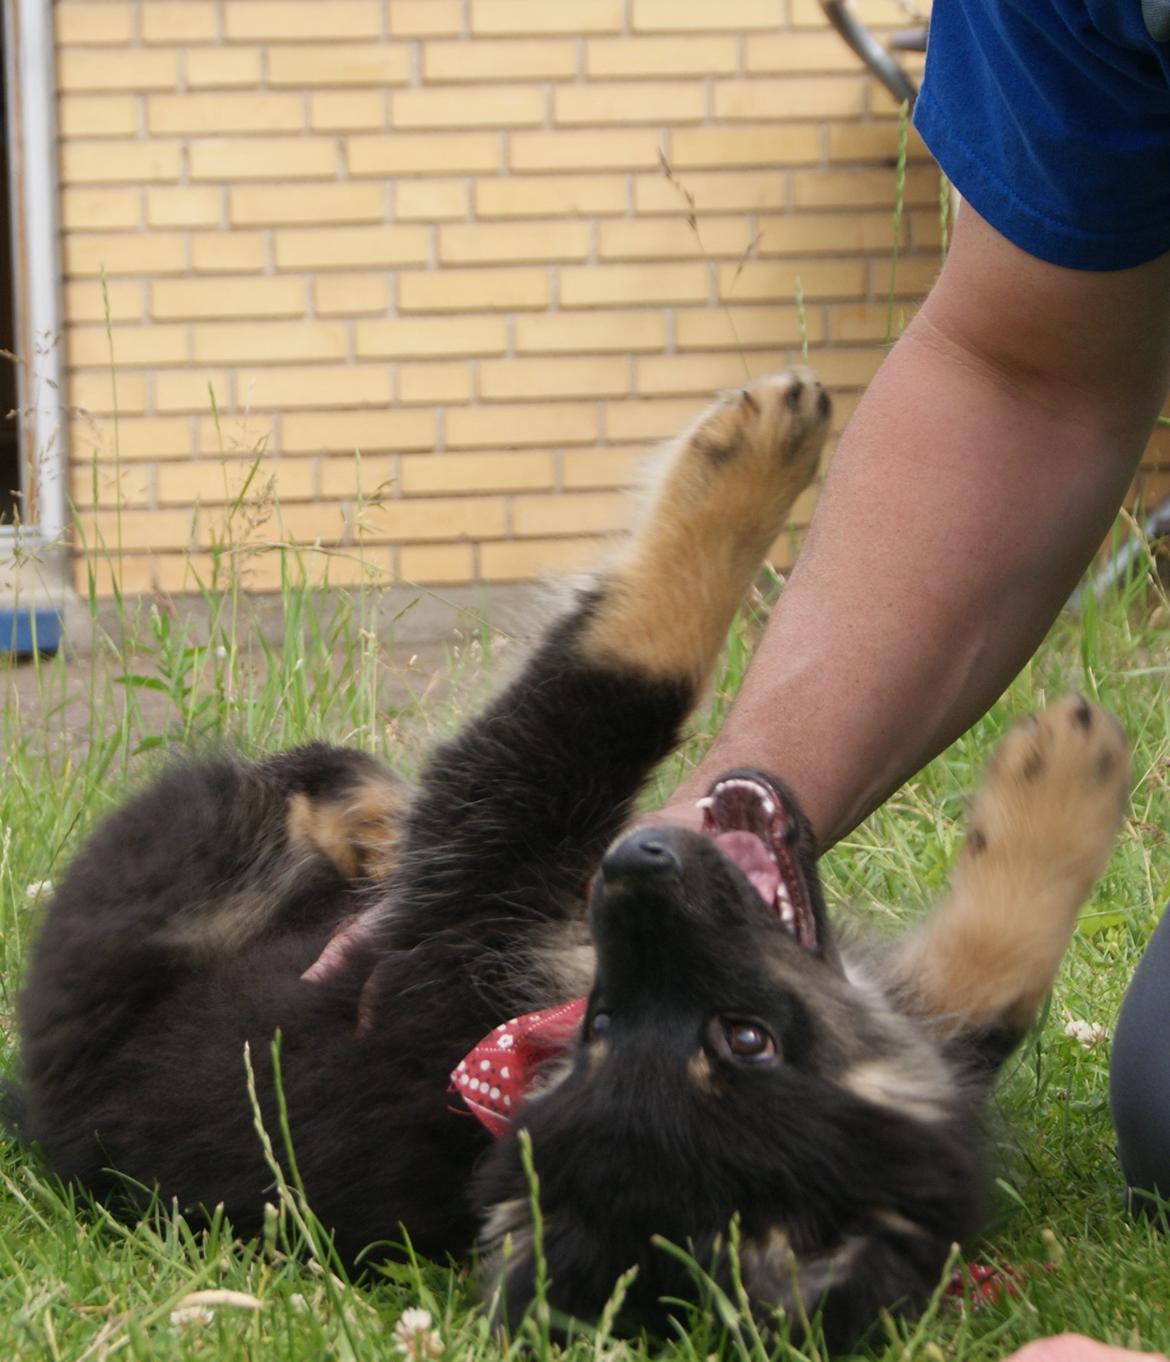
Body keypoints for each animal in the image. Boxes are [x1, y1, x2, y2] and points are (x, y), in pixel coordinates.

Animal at [6, 373, 1127, 1351]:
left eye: (746, 1042)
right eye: (604, 1029)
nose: (634, 861)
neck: (509, 1056)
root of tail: (35, 1095)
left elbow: (992, 991)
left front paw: (1057, 785)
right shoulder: (482, 868)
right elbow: (628, 675)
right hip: (169, 867)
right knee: (274, 795)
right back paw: (359, 807)